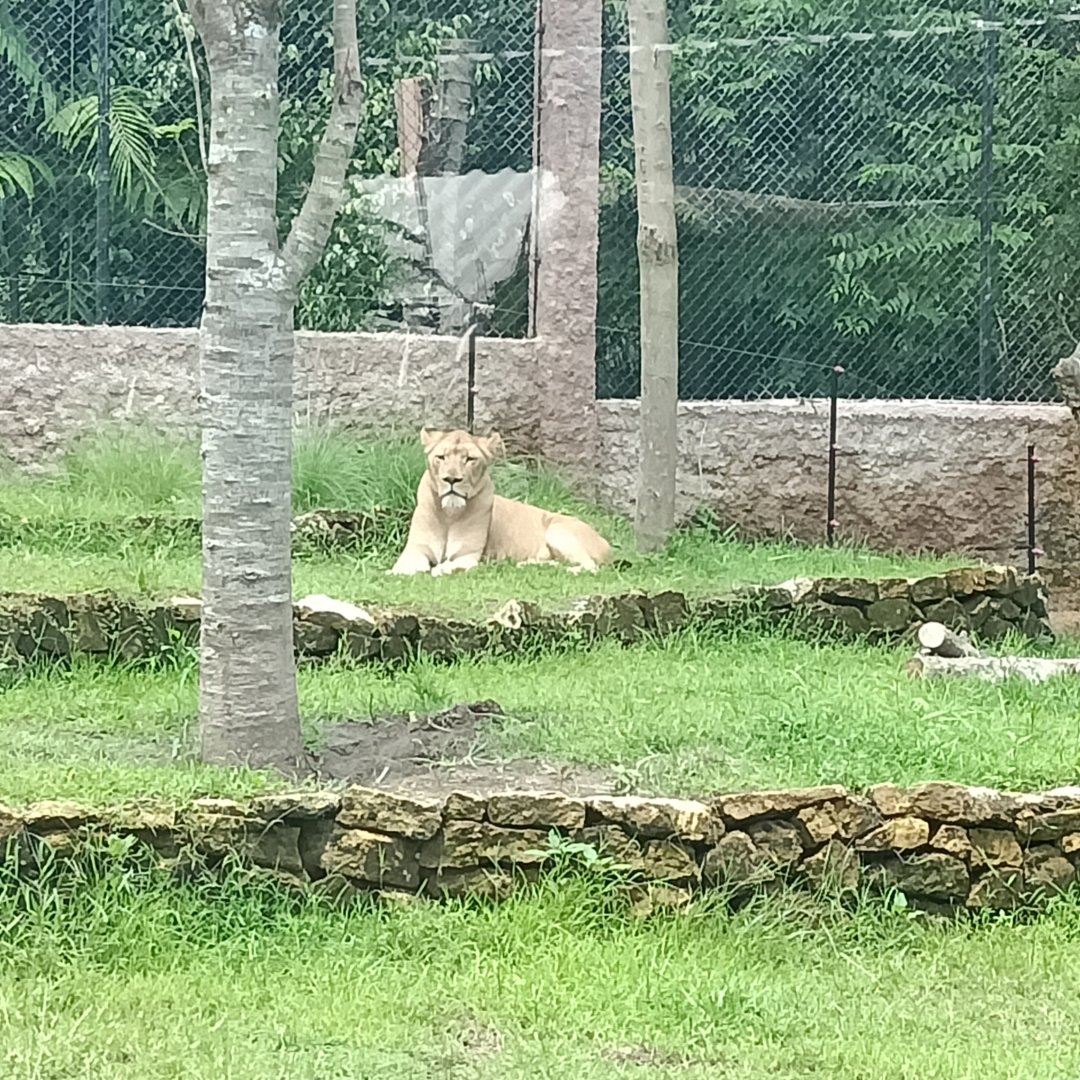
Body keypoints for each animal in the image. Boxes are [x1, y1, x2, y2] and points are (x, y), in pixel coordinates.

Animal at [388, 428, 613, 577]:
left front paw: (439, 569)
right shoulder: (415, 551)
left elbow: (450, 565)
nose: (452, 479)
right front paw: (395, 573)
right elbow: (401, 568)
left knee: (590, 567)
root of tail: (607, 545)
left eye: (470, 459)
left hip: (557, 531)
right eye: (441, 457)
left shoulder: (468, 556)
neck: (449, 515)